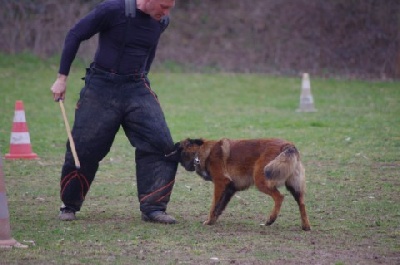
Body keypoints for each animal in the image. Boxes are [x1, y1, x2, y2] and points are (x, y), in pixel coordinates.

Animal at [178, 137, 312, 230]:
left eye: (179, 151)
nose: (182, 166)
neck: (204, 152)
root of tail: (288, 145)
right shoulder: (229, 189)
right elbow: (219, 207)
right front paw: (212, 221)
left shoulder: (220, 183)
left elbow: (213, 205)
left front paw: (208, 220)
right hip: (294, 186)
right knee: (302, 203)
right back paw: (305, 226)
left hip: (261, 180)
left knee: (279, 197)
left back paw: (271, 219)